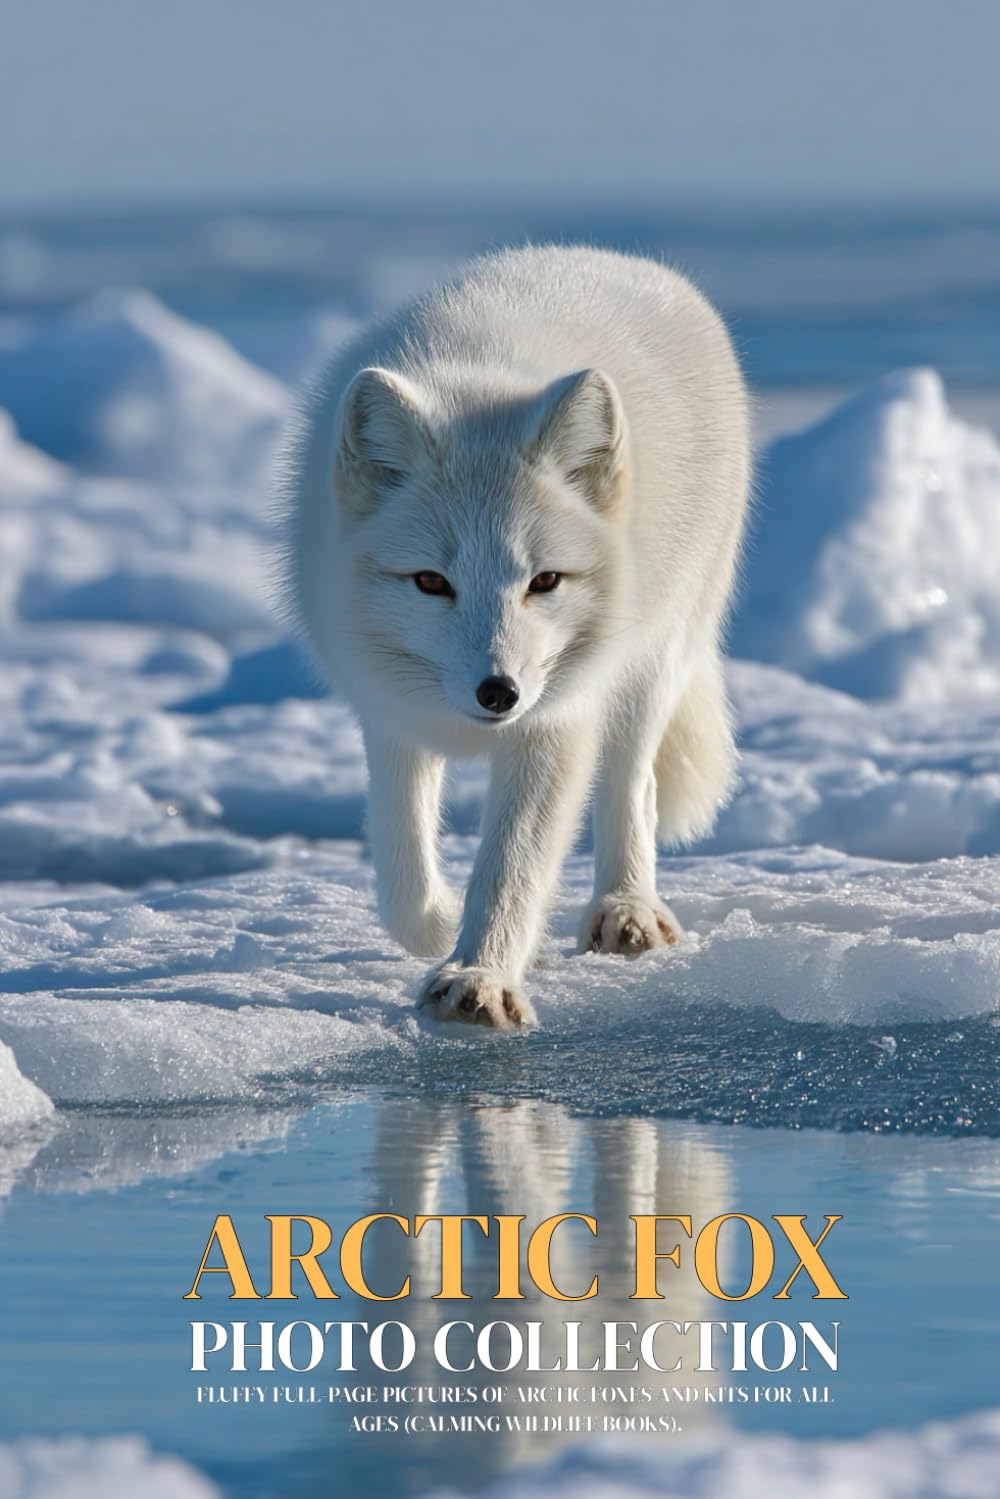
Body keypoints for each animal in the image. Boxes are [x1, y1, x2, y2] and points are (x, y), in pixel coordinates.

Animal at [281, 245, 750, 1033]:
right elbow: (400, 862)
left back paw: (626, 908)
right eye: (431, 581)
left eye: (545, 580)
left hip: (658, 651)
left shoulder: (556, 719)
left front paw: (479, 977)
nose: (498, 692)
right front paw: (440, 923)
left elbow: (513, 864)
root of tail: (617, 258)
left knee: (634, 784)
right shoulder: (387, 710)